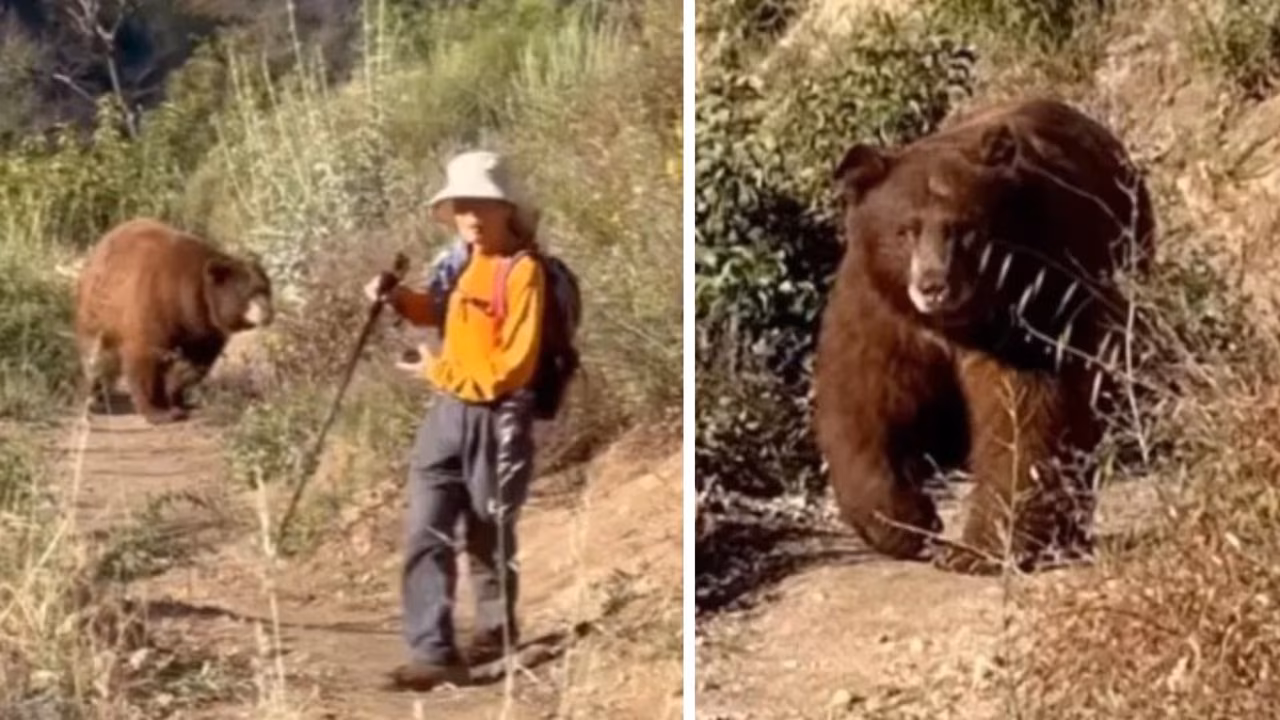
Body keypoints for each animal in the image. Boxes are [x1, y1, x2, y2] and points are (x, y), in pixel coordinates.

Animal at [74, 217, 274, 425]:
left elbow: (196, 361)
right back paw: (95, 397)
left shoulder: (203, 326)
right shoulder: (153, 305)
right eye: (251, 293)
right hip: (98, 312)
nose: (268, 313)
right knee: (97, 358)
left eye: (267, 290)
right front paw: (159, 411)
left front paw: (175, 395)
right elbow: (145, 357)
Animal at [811, 97, 1156, 574]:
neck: (954, 323)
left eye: (964, 230)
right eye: (905, 230)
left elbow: (1026, 412)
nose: (934, 285)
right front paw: (906, 523)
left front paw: (979, 548)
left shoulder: (1033, 297)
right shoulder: (879, 308)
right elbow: (862, 402)